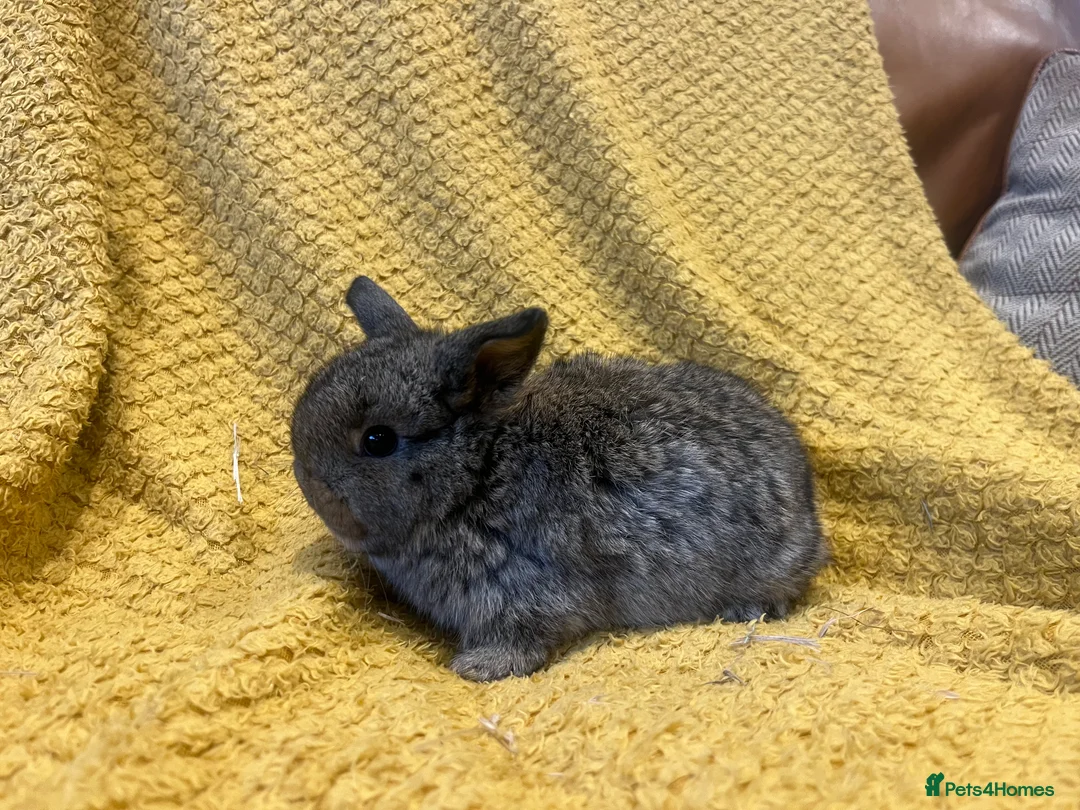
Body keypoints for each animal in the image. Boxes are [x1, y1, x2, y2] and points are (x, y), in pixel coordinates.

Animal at [291, 277, 829, 681]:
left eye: (378, 440)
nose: (307, 480)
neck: (478, 476)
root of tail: (810, 509)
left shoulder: (523, 594)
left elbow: (522, 639)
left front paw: (475, 668)